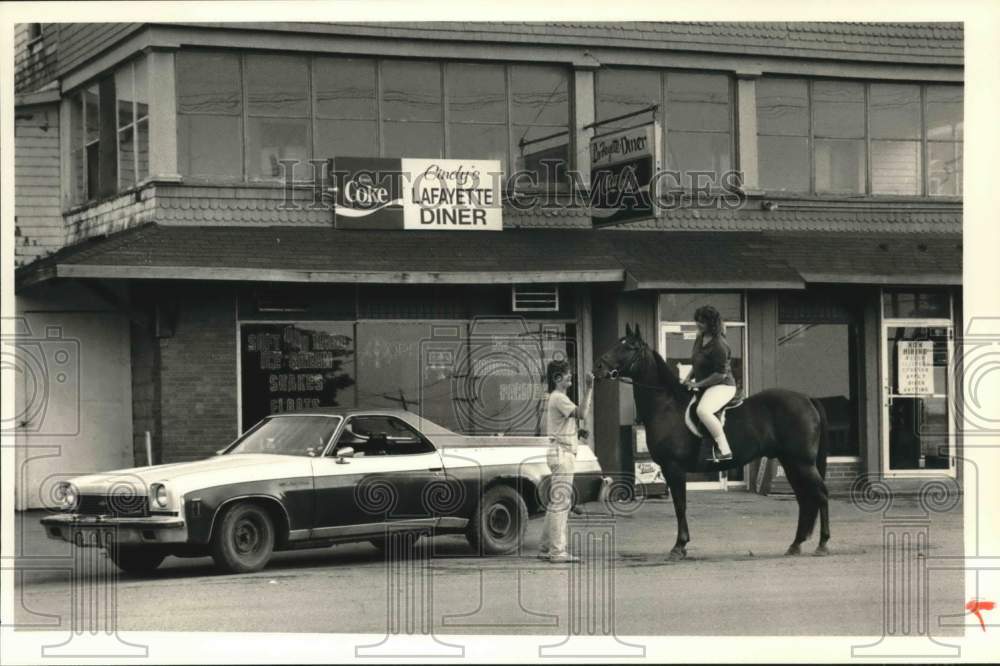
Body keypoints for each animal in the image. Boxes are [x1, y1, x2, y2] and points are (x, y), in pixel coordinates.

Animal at [596, 324, 832, 556]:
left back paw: (822, 544)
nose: (598, 368)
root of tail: (806, 399)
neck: (666, 405)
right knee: (804, 498)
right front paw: (681, 544)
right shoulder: (669, 468)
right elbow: (679, 505)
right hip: (791, 462)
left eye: (629, 347)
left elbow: (680, 505)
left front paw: (679, 546)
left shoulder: (674, 467)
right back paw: (796, 544)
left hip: (802, 462)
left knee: (820, 494)